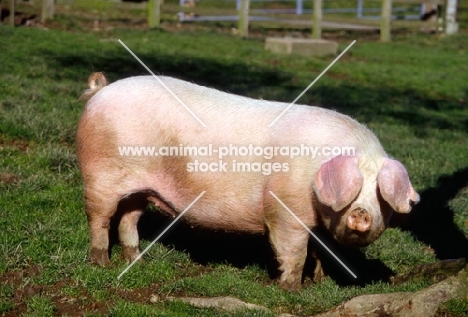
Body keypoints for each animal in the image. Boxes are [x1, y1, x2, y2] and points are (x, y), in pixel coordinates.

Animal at [77, 73, 420, 290]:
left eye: (381, 195)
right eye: (353, 186)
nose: (362, 214)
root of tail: (101, 90)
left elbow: (320, 252)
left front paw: (319, 282)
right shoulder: (284, 210)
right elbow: (294, 250)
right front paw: (290, 289)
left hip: (140, 187)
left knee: (128, 218)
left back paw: (138, 261)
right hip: (100, 173)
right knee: (100, 216)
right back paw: (101, 263)